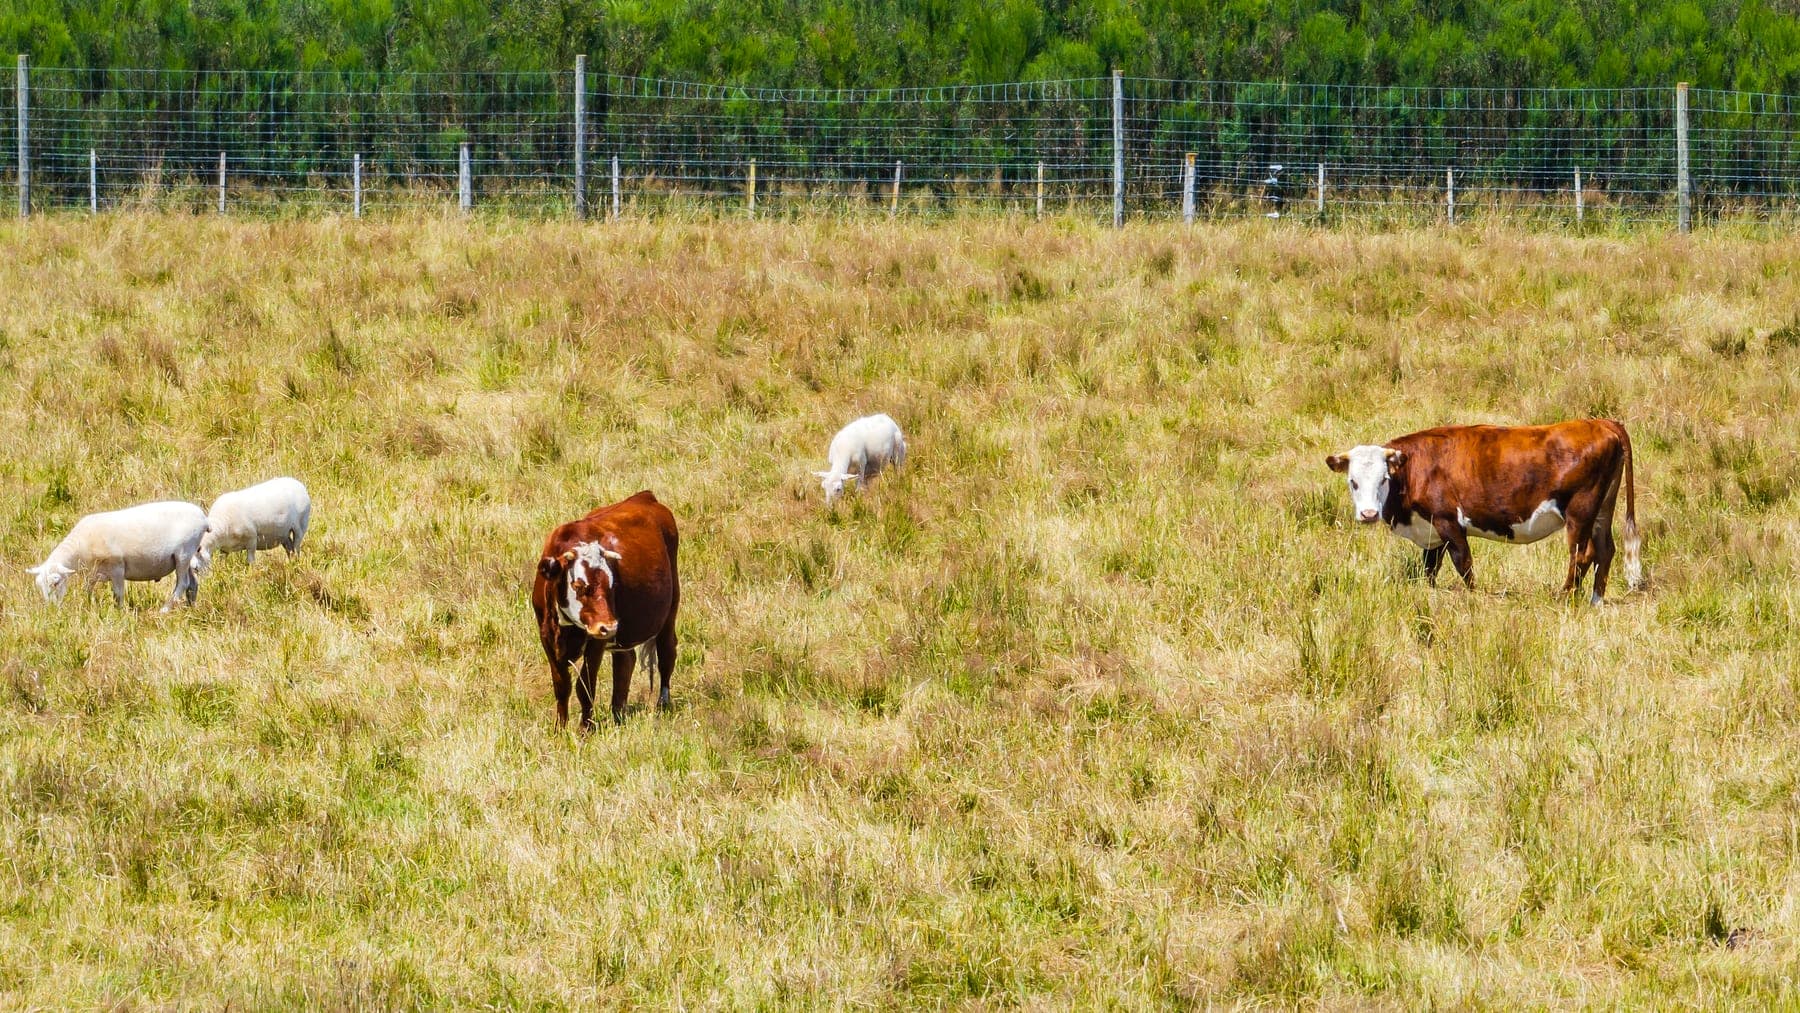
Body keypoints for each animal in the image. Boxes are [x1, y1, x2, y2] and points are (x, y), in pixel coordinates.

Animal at [27, 501, 209, 611]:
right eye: (39, 585)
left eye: (56, 583)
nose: (50, 610)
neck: (80, 546)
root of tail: (203, 518)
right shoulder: (92, 573)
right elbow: (88, 589)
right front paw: (89, 605)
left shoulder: (116, 568)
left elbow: (118, 594)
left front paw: (119, 612)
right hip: (187, 555)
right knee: (192, 583)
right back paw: (190, 607)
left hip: (183, 552)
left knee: (182, 583)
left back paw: (165, 609)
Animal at [530, 491, 680, 728]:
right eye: (578, 585)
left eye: (612, 584)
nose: (609, 626)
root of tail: (645, 497)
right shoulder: (546, 635)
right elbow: (562, 686)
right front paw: (560, 729)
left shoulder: (596, 642)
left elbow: (585, 687)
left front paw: (586, 729)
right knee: (625, 662)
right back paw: (618, 714)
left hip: (669, 610)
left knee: (667, 653)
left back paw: (662, 704)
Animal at [1326, 420, 1641, 604]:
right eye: (1353, 481)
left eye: (1383, 479)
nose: (1368, 514)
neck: (1415, 469)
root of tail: (1598, 421)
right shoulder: (1431, 532)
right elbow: (1429, 570)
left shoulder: (1449, 522)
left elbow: (1464, 565)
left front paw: (1473, 598)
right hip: (1602, 508)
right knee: (1605, 550)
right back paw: (1595, 601)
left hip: (1580, 509)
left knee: (1583, 554)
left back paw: (1564, 597)